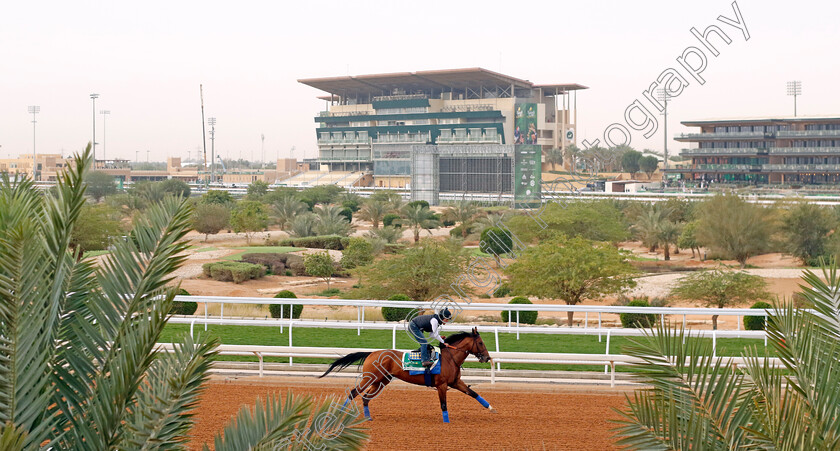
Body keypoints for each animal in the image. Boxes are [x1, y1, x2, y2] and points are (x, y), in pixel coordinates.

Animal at [320, 328, 492, 424]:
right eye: (481, 343)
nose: (487, 358)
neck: (450, 358)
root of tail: (371, 353)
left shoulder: (455, 382)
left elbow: (473, 393)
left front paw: (491, 408)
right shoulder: (442, 385)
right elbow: (443, 404)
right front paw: (447, 421)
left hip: (382, 381)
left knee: (366, 398)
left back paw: (368, 418)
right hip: (370, 378)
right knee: (353, 392)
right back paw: (340, 413)